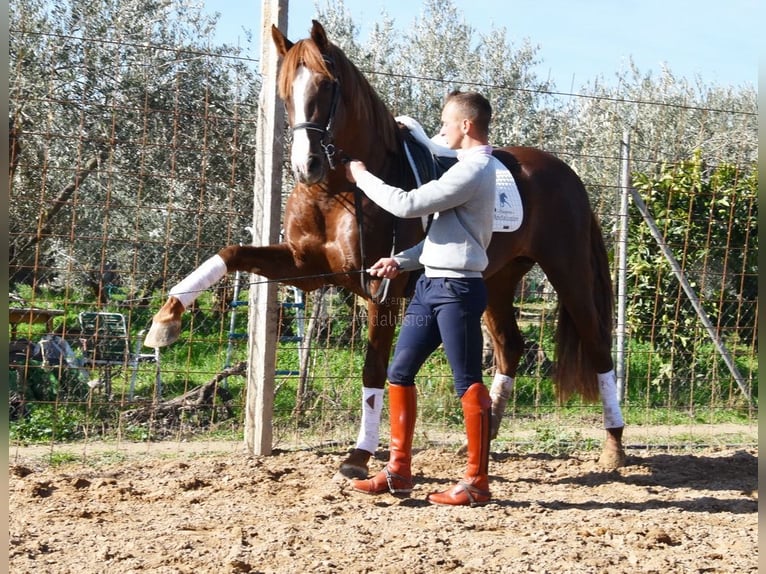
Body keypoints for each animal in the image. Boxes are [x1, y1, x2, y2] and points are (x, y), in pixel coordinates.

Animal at [146, 21, 632, 476]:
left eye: (327, 84)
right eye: (285, 90)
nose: (307, 166)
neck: (337, 193)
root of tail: (565, 173)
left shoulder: (382, 289)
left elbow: (374, 370)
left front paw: (359, 455)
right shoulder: (305, 267)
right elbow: (229, 254)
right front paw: (166, 320)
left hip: (568, 273)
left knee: (598, 349)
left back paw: (613, 447)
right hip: (497, 280)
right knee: (510, 349)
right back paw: (483, 440)